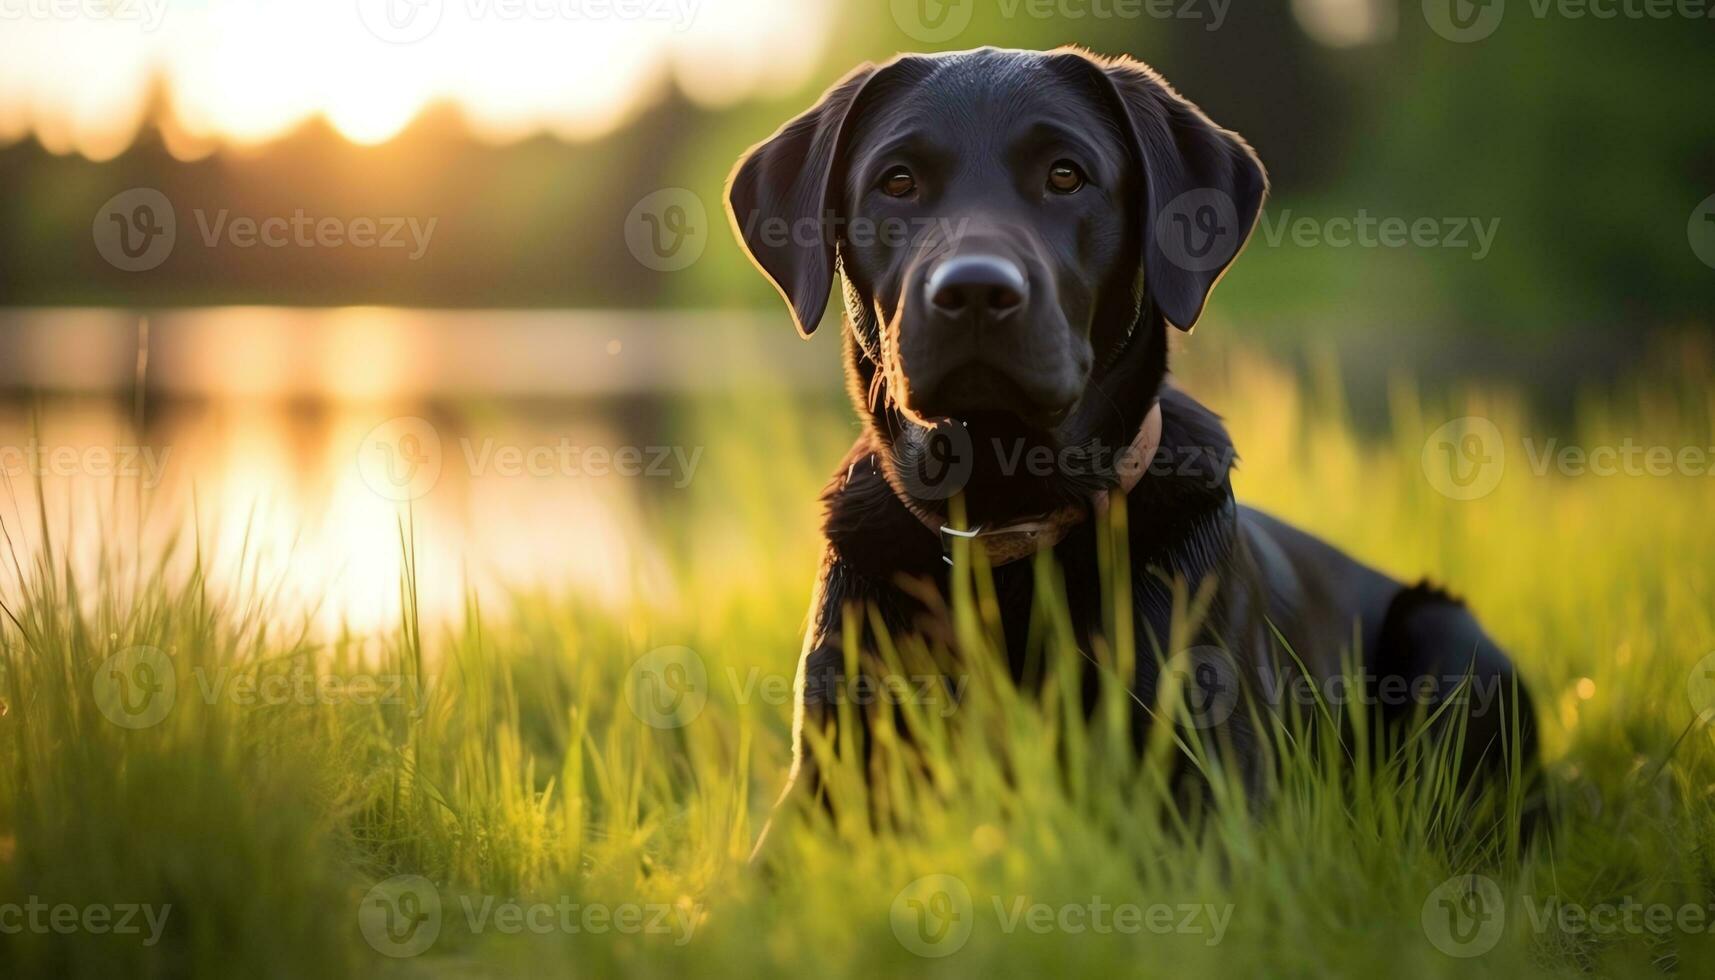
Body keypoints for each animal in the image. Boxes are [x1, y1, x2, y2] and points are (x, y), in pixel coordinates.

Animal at [730, 44, 1536, 813]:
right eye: (896, 183)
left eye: (1066, 175)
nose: (975, 290)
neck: (1006, 512)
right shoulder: (824, 782)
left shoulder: (1217, 784)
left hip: (1451, 641)